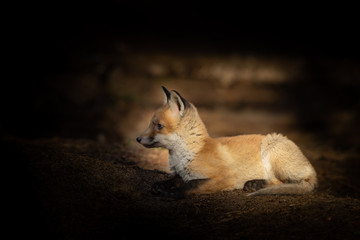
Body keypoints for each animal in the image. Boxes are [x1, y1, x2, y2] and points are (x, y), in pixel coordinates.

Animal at [136, 86, 316, 199]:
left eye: (159, 126)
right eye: (150, 123)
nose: (137, 139)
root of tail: (312, 170)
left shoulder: (226, 177)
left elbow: (193, 184)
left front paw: (175, 193)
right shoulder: (183, 173)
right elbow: (177, 179)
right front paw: (163, 185)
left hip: (272, 149)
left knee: (287, 182)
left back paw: (255, 184)